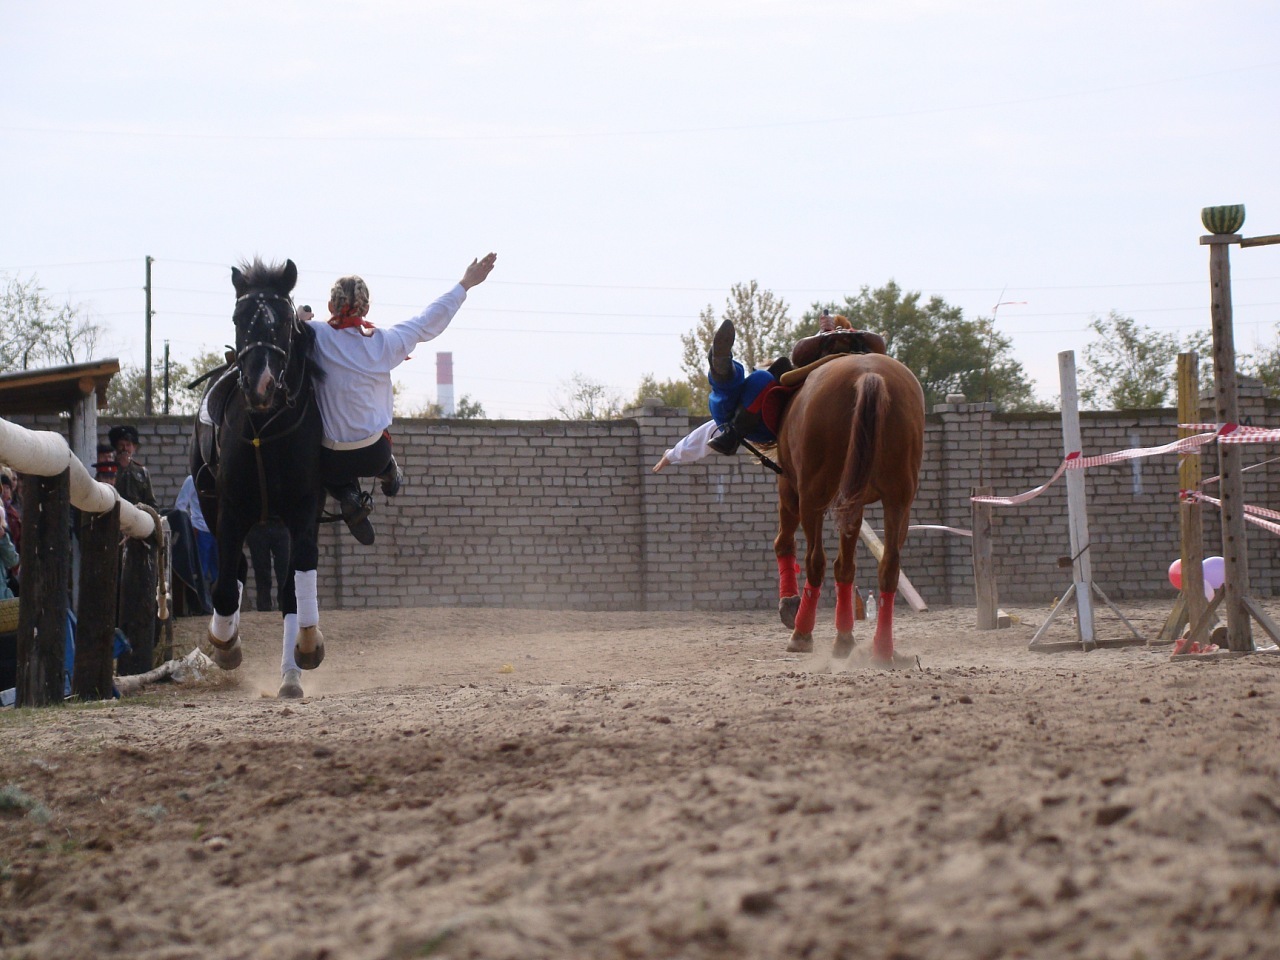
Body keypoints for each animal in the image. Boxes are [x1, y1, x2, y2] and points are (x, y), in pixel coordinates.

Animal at [193, 259, 327, 686]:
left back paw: (290, 677)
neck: (263, 429)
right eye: (239, 318)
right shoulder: (230, 508)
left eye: (283, 320)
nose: (260, 384)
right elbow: (223, 586)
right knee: (234, 571)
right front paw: (226, 645)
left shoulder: (304, 508)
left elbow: (295, 583)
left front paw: (307, 648)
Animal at [768, 355, 921, 670]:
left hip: (812, 494)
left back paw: (801, 633)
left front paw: (790, 605)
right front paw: (845, 638)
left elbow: (786, 544)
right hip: (898, 499)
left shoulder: (790, 487)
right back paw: (882, 650)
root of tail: (868, 376)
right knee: (889, 566)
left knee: (815, 561)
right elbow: (846, 566)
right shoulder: (855, 501)